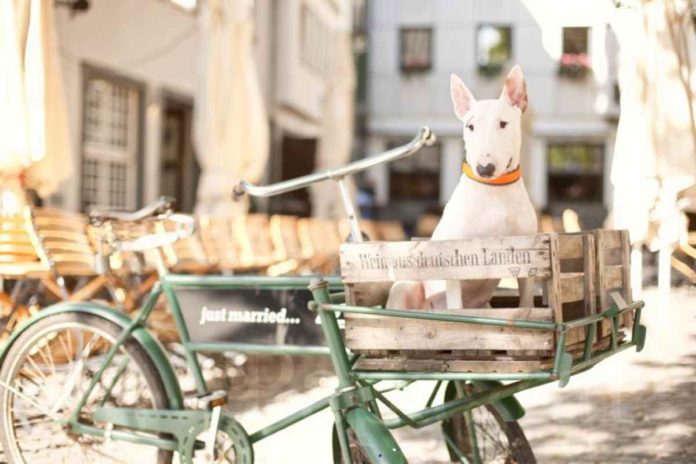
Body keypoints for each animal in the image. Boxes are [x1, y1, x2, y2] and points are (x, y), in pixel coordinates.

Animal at [386, 65, 540, 310]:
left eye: (503, 124)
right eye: (471, 126)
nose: (484, 168)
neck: (495, 191)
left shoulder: (526, 256)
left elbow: (526, 304)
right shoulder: (456, 265)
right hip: (405, 288)